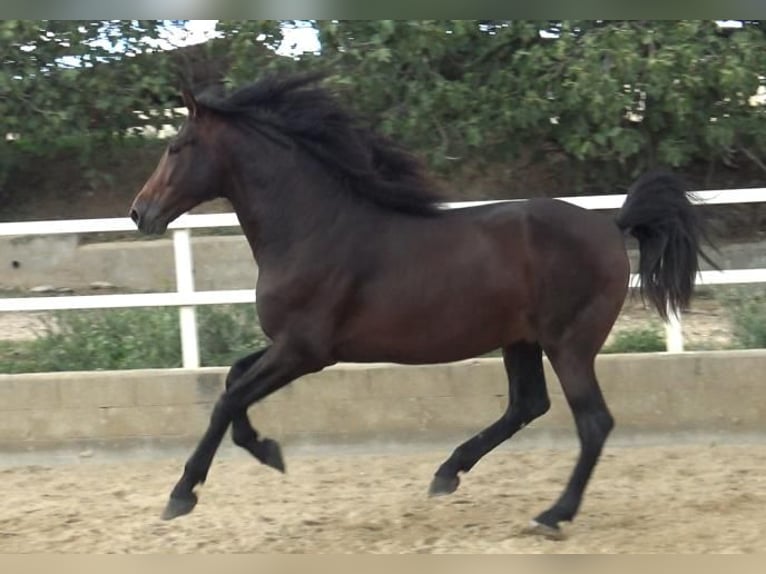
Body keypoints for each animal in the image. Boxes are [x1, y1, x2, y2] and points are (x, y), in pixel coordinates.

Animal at [130, 72, 712, 540]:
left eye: (177, 147)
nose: (140, 213)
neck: (313, 229)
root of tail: (612, 224)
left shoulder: (304, 351)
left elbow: (227, 400)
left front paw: (182, 494)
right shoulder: (290, 346)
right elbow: (232, 380)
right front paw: (268, 451)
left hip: (568, 344)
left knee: (592, 423)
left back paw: (552, 515)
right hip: (521, 340)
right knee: (527, 405)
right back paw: (448, 473)